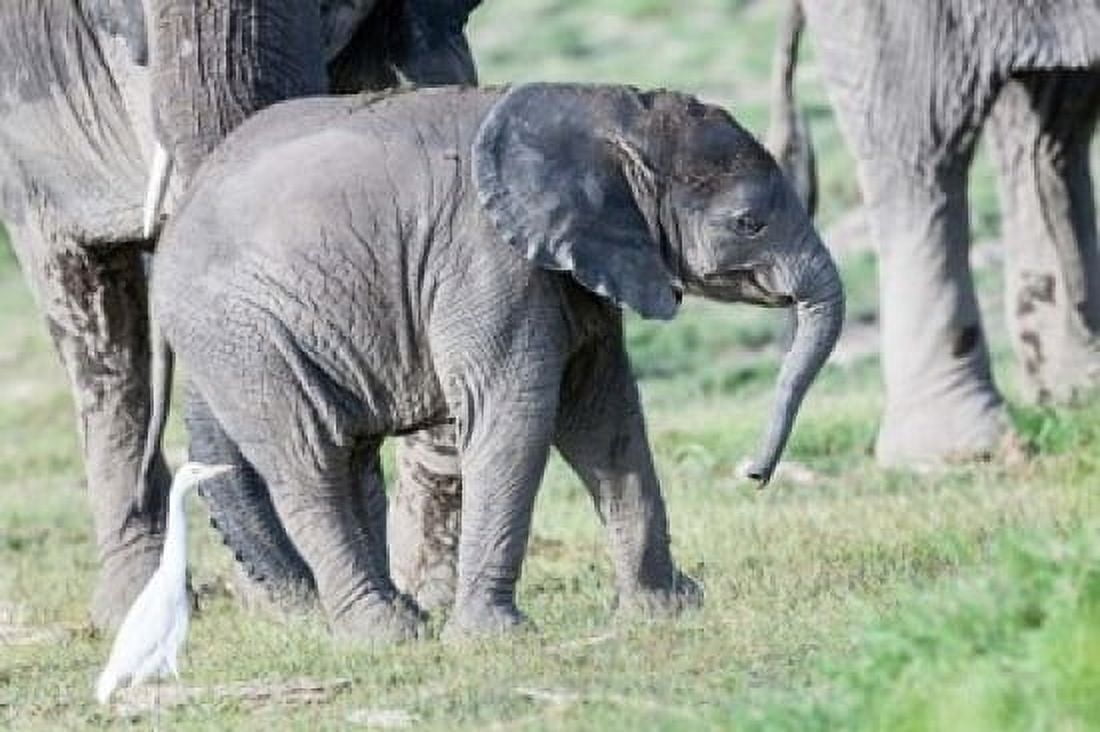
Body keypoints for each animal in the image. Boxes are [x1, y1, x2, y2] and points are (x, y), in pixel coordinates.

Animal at [145, 82, 845, 639]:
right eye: (748, 223)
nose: (752, 474)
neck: (609, 111)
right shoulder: (488, 263)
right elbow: (516, 416)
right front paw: (493, 638)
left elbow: (606, 418)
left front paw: (665, 612)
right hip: (241, 336)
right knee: (310, 463)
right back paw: (387, 634)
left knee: (344, 459)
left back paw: (402, 619)